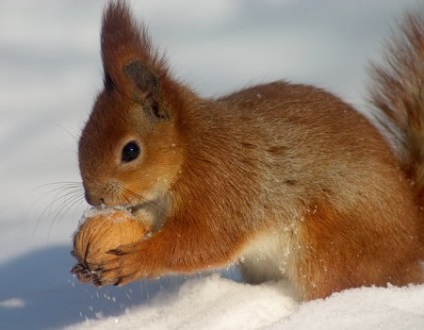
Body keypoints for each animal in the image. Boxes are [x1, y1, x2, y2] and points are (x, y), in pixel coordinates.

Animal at [75, 1, 424, 302]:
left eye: (130, 151)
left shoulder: (222, 186)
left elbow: (203, 241)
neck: (189, 151)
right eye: (80, 139)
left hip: (332, 250)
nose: (94, 199)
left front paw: (137, 259)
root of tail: (413, 234)